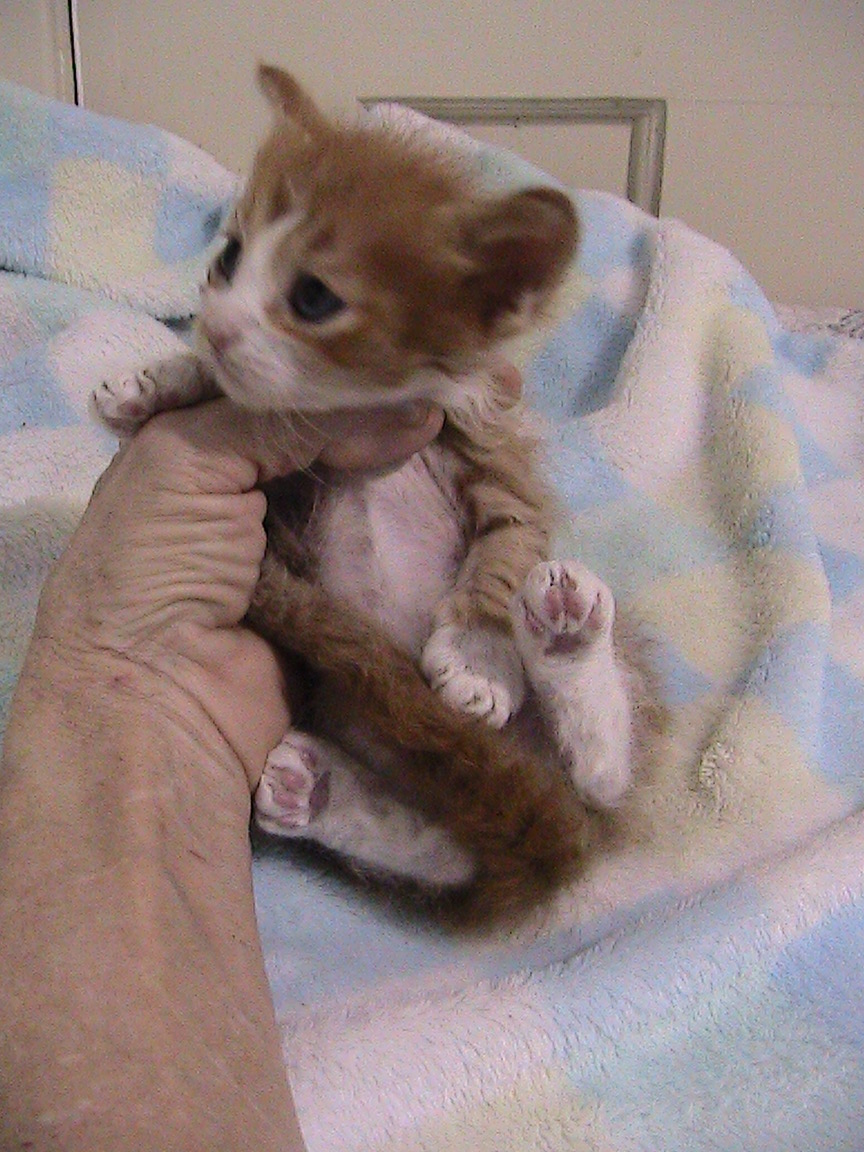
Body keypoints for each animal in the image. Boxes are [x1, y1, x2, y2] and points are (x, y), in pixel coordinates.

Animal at [94, 65, 662, 926]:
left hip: (590, 747)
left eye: (313, 299)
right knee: (448, 849)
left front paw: (480, 656)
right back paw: (320, 793)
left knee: (603, 779)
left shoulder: (494, 449)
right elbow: (225, 397)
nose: (215, 326)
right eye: (230, 256)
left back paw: (566, 641)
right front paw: (157, 380)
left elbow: (506, 548)